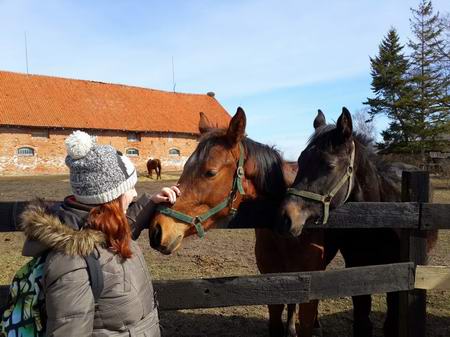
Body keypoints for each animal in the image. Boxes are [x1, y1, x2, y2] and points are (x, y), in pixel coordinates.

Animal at [280, 107, 438, 336]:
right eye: (300, 161)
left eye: (329, 165)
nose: (286, 216)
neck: (378, 221)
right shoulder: (357, 268)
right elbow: (362, 322)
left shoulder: (398, 276)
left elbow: (390, 322)